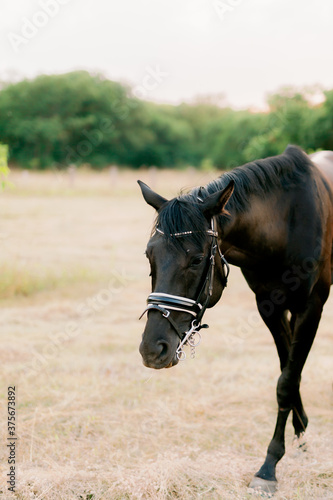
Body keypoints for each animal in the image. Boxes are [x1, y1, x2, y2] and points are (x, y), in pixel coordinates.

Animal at [137, 146, 332, 496]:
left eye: (197, 259)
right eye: (149, 256)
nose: (152, 349)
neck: (287, 221)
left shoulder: (312, 307)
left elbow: (286, 381)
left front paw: (269, 467)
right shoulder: (270, 307)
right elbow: (288, 372)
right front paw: (300, 435)